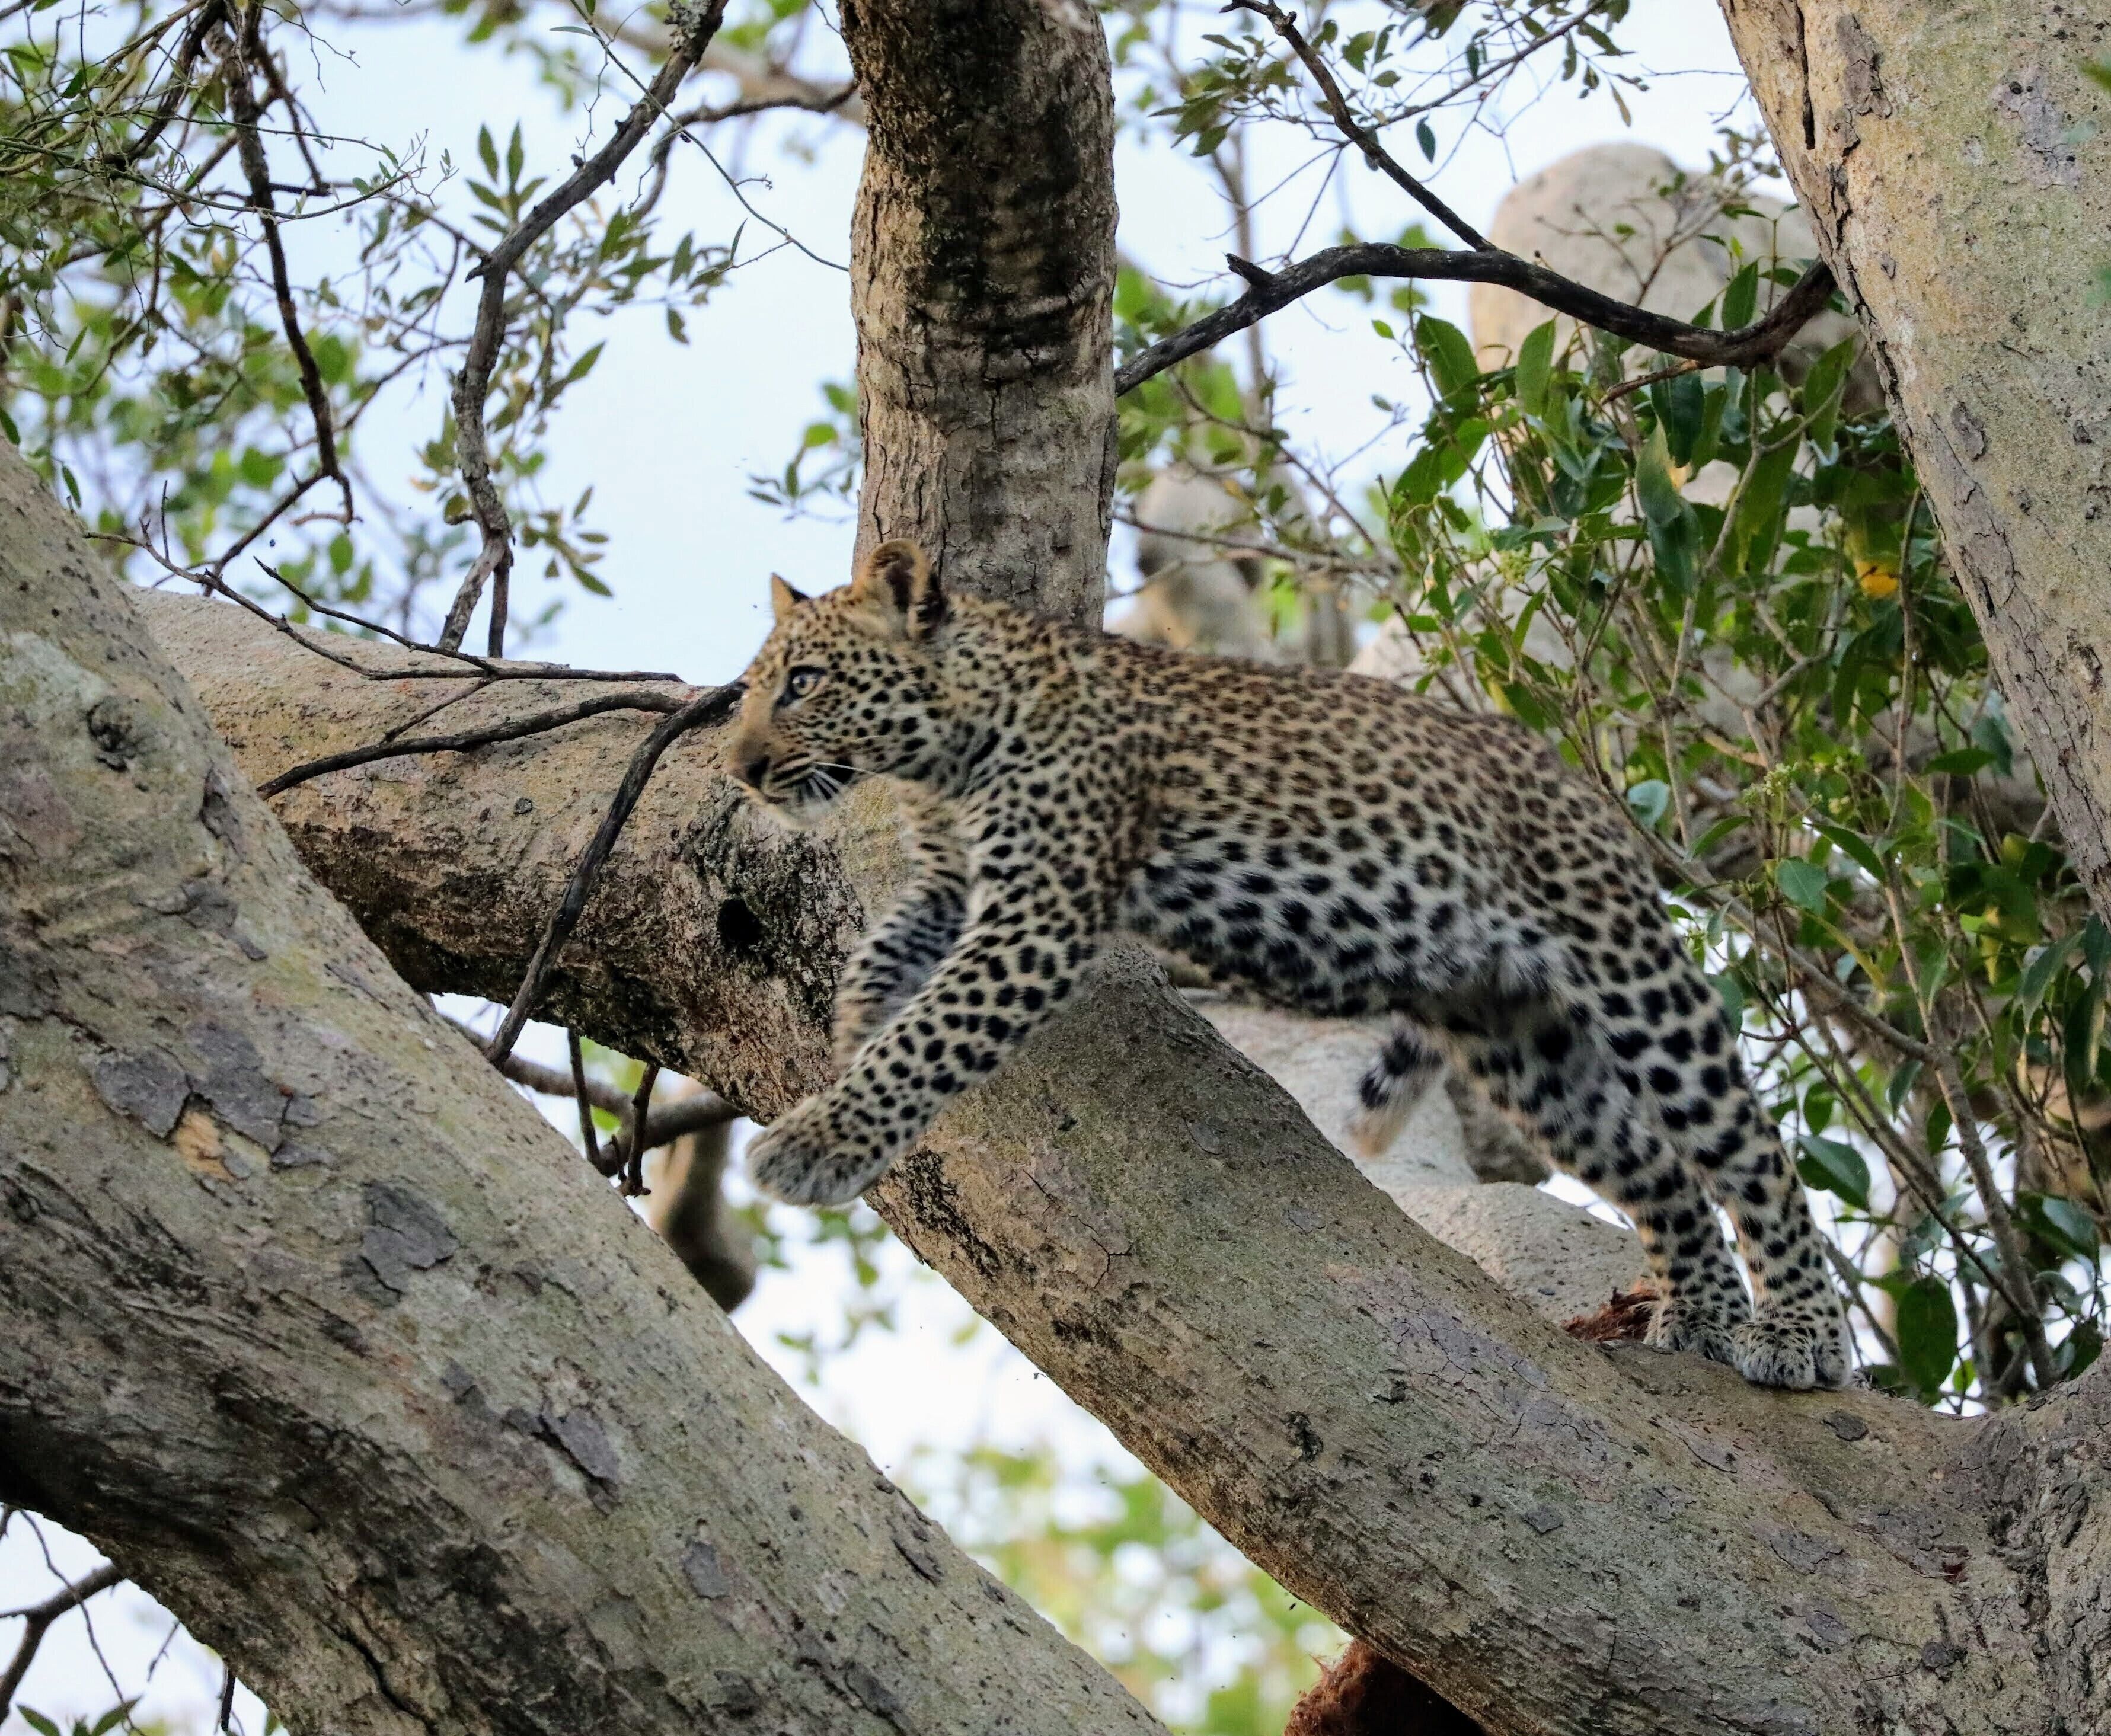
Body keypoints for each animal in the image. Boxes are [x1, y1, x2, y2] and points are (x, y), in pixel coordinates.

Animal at [726, 538, 1852, 1390]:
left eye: (804, 683)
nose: (738, 769)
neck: (943, 753)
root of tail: (1572, 775)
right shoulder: (953, 891)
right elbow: (884, 966)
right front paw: (849, 1043)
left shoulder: (1035, 913)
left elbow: (937, 1031)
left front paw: (816, 1140)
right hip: (1522, 1040)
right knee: (1656, 1163)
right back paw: (1701, 1310)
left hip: (1626, 971)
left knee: (1747, 1143)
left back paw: (1800, 1332)